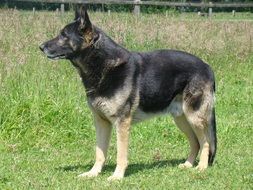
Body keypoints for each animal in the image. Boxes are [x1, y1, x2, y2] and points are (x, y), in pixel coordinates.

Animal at [39, 6, 215, 180]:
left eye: (63, 35)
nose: (40, 47)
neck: (103, 66)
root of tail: (207, 67)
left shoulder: (121, 123)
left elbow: (121, 154)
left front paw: (117, 176)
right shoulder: (101, 122)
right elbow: (99, 152)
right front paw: (93, 173)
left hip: (194, 118)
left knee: (205, 142)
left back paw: (201, 167)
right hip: (181, 119)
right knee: (196, 142)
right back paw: (188, 164)